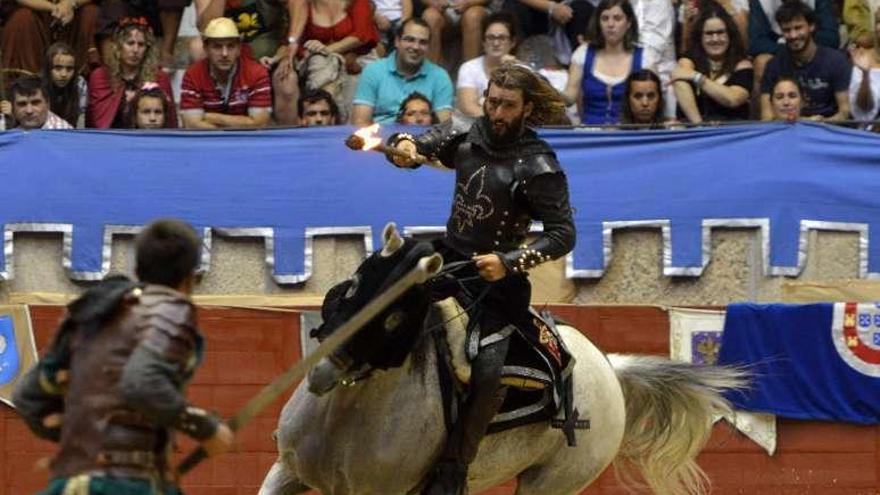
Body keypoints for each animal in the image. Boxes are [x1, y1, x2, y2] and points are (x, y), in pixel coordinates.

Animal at [258, 228, 744, 495]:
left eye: (398, 316)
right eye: (357, 283)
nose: (324, 369)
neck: (346, 411)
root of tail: (608, 366)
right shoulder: (285, 471)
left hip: (551, 484)